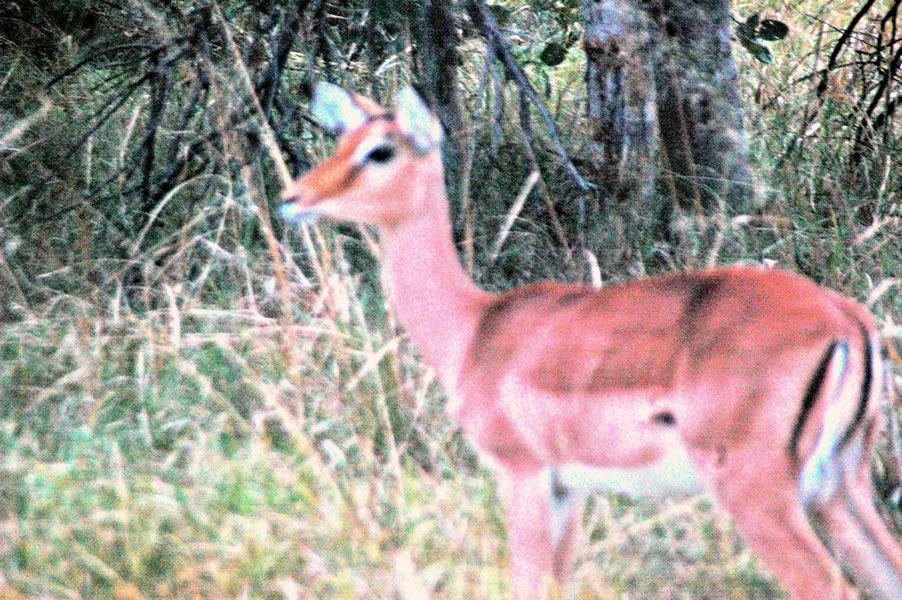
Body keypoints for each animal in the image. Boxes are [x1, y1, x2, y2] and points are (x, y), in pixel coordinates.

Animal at [280, 82, 902, 599]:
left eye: (380, 151)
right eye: (341, 141)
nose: (294, 197)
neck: (475, 329)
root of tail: (845, 319)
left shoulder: (524, 474)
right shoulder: (569, 490)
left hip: (760, 494)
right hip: (839, 488)